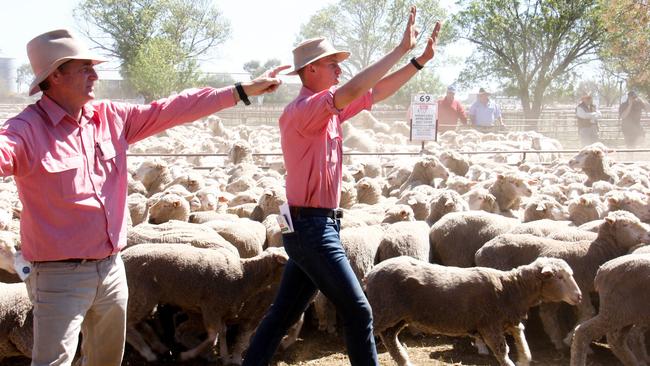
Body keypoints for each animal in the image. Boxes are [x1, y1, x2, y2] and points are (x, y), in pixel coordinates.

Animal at [122, 244, 288, 362]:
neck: (244, 276)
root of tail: (123, 256)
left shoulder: (220, 311)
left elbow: (222, 332)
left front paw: (225, 357)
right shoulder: (211, 308)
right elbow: (212, 338)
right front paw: (187, 355)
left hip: (140, 299)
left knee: (138, 324)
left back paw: (158, 346)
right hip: (142, 296)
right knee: (128, 326)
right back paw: (148, 353)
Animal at [364, 256, 584, 366]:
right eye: (560, 277)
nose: (579, 296)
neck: (511, 288)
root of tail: (371, 273)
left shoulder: (508, 319)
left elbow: (521, 338)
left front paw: (524, 358)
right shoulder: (490, 325)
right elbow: (502, 352)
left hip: (398, 316)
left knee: (389, 337)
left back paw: (404, 360)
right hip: (383, 310)